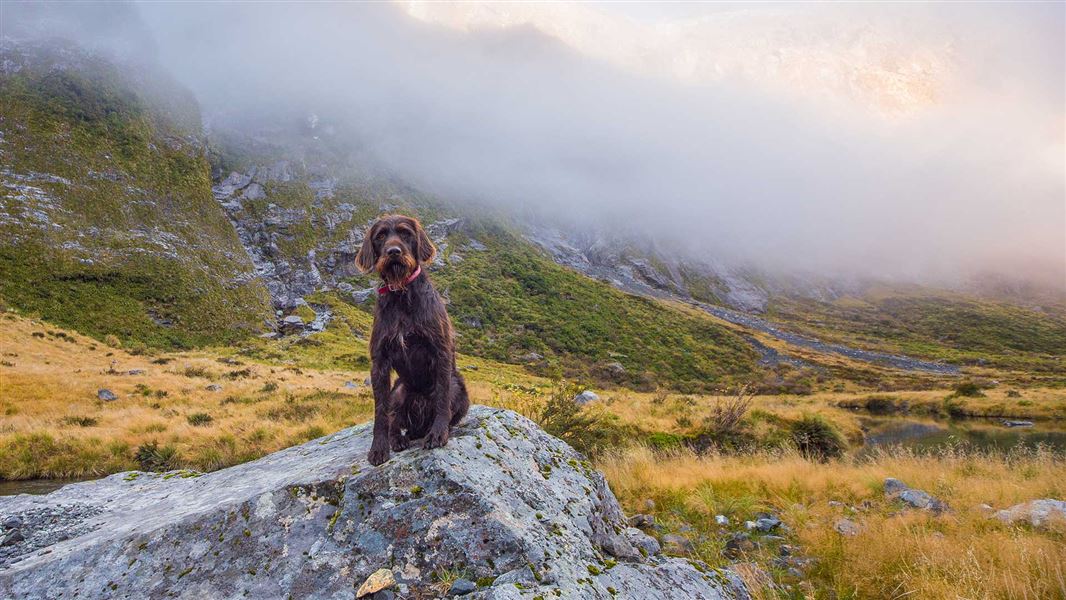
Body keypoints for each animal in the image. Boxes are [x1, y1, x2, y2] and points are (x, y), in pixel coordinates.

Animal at [356, 213, 469, 466]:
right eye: (380, 236)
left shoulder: (440, 351)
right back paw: (397, 438)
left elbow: (442, 399)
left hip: (459, 386)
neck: (401, 294)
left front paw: (438, 433)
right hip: (399, 391)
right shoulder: (379, 361)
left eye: (405, 233)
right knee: (395, 419)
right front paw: (379, 447)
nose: (394, 252)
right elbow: (381, 412)